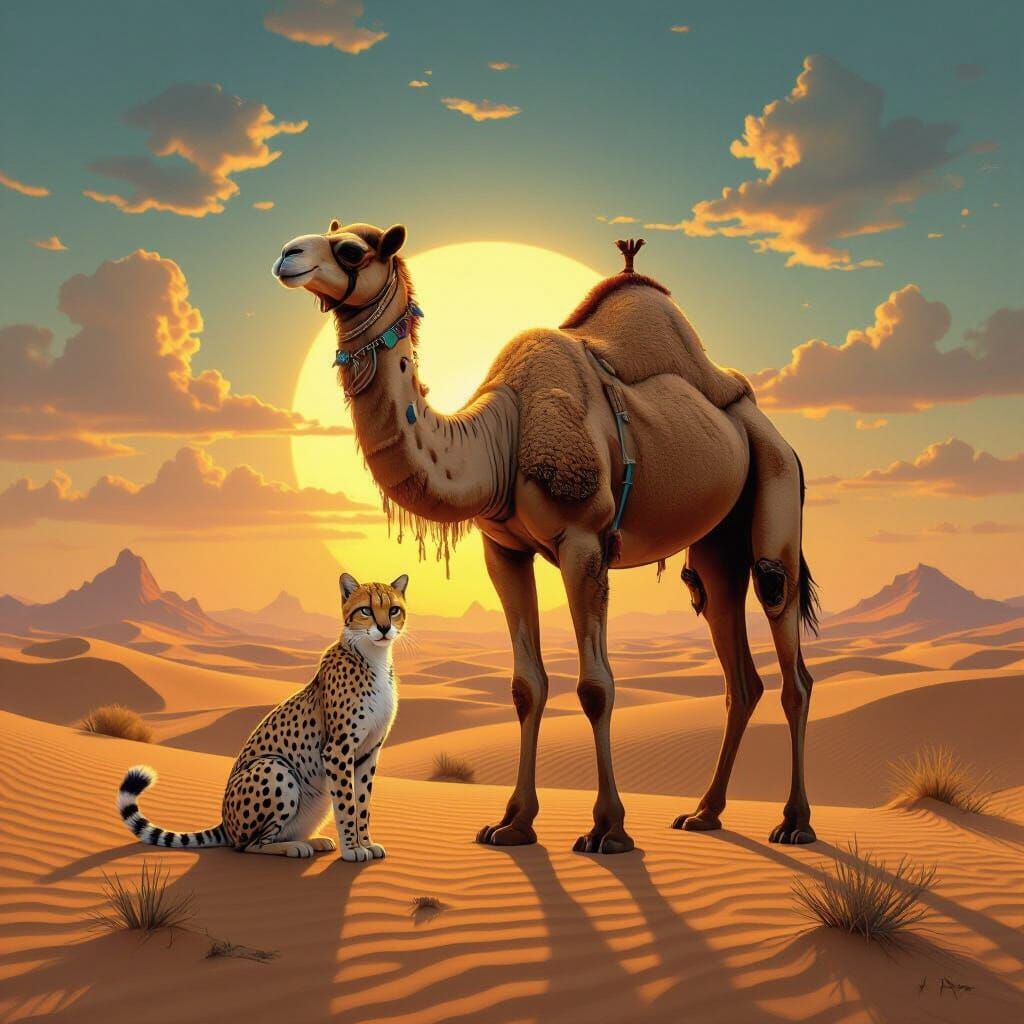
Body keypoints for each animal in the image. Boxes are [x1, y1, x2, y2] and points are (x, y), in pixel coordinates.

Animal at [272, 220, 821, 853]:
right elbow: (525, 685)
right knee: (737, 664)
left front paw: (608, 828)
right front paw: (513, 823)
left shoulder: (584, 540)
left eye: (352, 250)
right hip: (716, 544)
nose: (286, 255)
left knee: (788, 648)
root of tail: (770, 427)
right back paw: (704, 813)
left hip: (776, 482)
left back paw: (795, 822)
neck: (499, 436)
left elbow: (596, 686)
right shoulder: (503, 550)